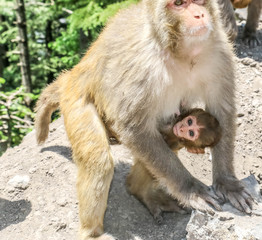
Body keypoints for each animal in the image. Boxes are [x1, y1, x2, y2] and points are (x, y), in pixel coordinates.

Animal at [33, 0, 253, 240]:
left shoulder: (219, 52)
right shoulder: (141, 66)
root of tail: (76, 73)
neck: (180, 54)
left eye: (199, 2)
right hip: (76, 99)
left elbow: (222, 110)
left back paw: (140, 191)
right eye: (179, 3)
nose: (199, 15)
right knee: (99, 161)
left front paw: (227, 183)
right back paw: (92, 232)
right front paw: (190, 189)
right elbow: (133, 127)